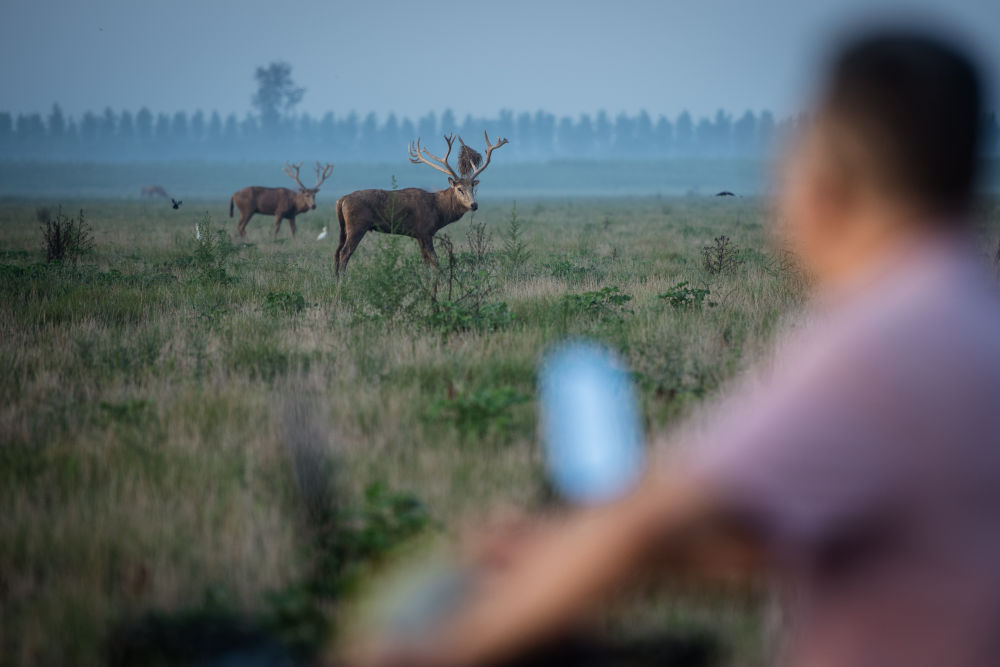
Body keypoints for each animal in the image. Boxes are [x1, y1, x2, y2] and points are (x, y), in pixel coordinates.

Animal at [336, 132, 508, 272]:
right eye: (459, 189)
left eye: (473, 187)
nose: (474, 205)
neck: (438, 210)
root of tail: (341, 200)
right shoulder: (425, 231)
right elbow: (434, 260)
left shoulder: (418, 235)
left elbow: (425, 261)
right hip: (357, 225)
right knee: (345, 253)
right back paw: (341, 283)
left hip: (344, 228)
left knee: (336, 252)